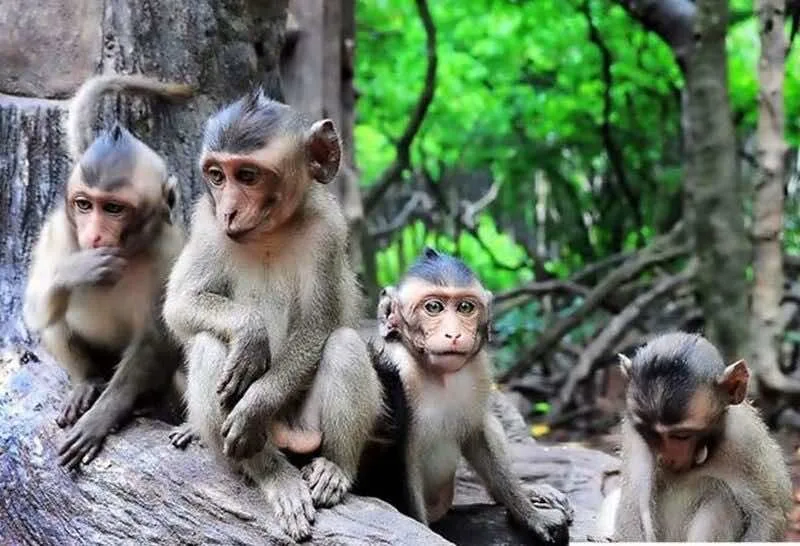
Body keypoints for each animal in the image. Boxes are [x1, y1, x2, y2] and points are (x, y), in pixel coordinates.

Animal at [22, 73, 192, 470]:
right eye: (84, 205)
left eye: (113, 208)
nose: (95, 235)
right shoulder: (58, 231)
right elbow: (34, 309)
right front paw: (79, 269)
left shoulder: (171, 254)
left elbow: (156, 339)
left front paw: (104, 415)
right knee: (54, 315)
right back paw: (86, 382)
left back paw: (145, 404)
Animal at [161, 87, 383, 542]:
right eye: (216, 176)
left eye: (247, 176)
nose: (229, 211)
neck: (269, 232)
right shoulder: (206, 222)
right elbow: (180, 304)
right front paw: (250, 333)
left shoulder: (327, 230)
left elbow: (319, 326)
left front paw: (254, 405)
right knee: (210, 344)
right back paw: (271, 473)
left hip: (304, 425)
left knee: (344, 345)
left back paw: (335, 468)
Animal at [352, 248, 572, 546]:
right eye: (433, 307)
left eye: (465, 308)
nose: (454, 334)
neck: (436, 375)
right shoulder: (398, 370)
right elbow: (405, 463)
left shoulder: (478, 370)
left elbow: (478, 436)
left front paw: (531, 514)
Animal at [594, 332, 793, 542]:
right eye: (649, 433)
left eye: (682, 435)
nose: (665, 458)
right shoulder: (633, 429)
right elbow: (634, 503)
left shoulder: (743, 439)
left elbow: (768, 515)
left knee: (721, 496)